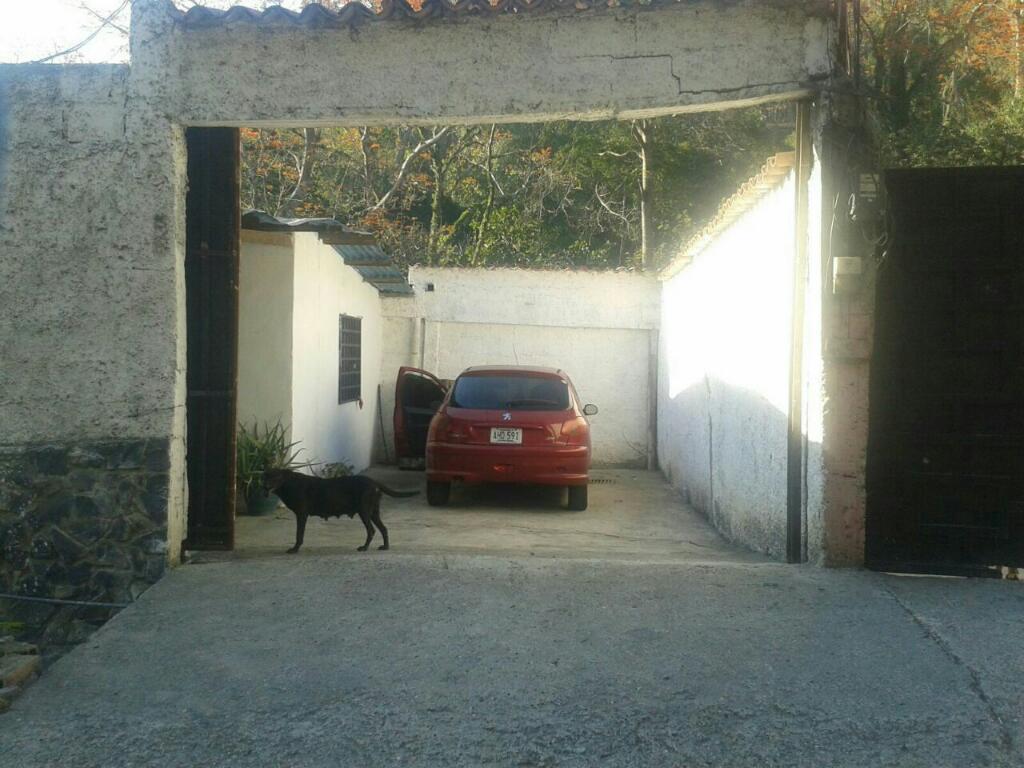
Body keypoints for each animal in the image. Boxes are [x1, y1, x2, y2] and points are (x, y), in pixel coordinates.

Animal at [262, 468, 417, 552]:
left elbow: (299, 535)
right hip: (373, 512)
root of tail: (374, 482)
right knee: (384, 529)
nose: (265, 487)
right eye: (265, 477)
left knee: (371, 530)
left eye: (276, 477)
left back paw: (364, 548)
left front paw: (295, 550)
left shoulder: (301, 515)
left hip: (364, 511)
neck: (288, 483)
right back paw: (385, 547)